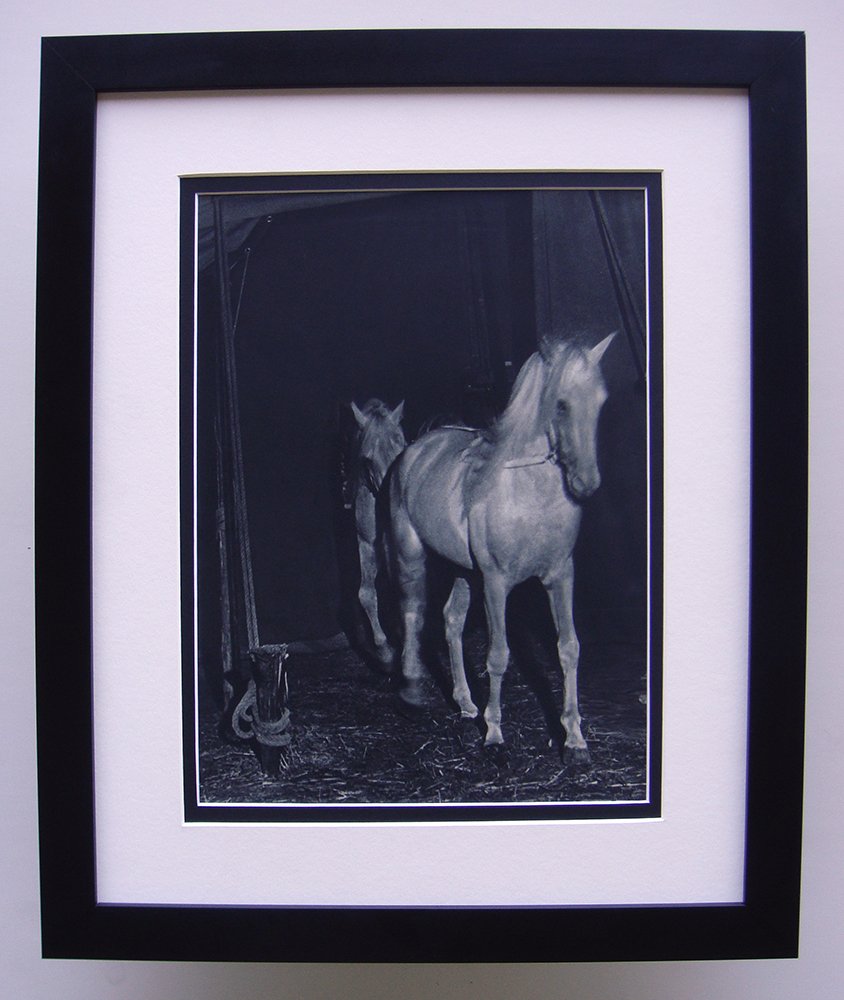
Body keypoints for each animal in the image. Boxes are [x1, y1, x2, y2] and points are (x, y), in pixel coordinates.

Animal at [388, 333, 615, 759]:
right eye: (561, 404)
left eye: (601, 400)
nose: (586, 483)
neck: (528, 495)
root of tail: (417, 449)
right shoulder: (496, 583)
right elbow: (498, 654)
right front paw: (494, 734)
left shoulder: (560, 576)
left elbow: (568, 648)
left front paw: (575, 740)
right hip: (411, 553)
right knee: (412, 613)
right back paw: (411, 693)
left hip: (463, 572)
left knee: (451, 620)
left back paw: (464, 702)